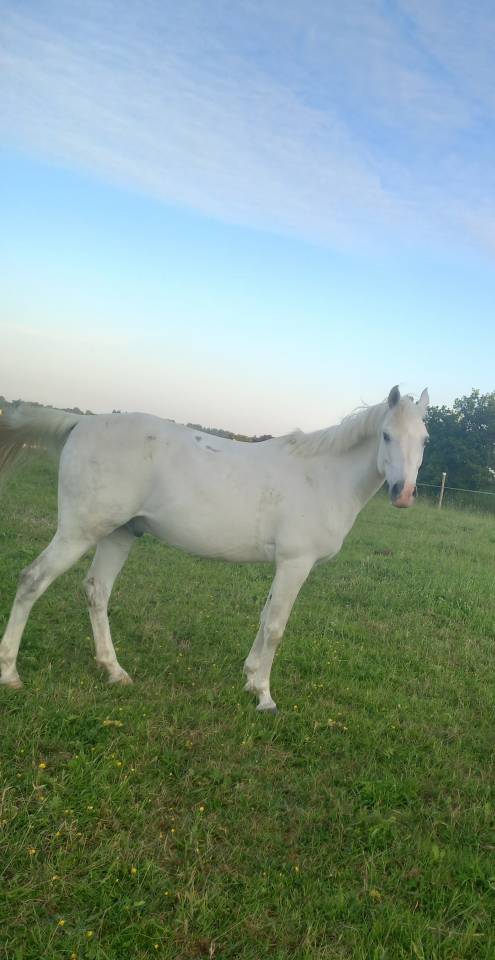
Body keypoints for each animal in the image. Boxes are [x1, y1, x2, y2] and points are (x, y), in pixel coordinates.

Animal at [0, 385, 429, 711]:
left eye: (424, 439)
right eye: (386, 435)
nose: (403, 493)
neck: (322, 476)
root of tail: (82, 422)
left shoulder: (282, 566)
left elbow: (263, 619)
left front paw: (251, 679)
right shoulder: (295, 563)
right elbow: (275, 627)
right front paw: (265, 698)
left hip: (119, 533)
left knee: (96, 591)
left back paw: (114, 671)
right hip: (79, 531)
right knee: (32, 580)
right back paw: (10, 674)